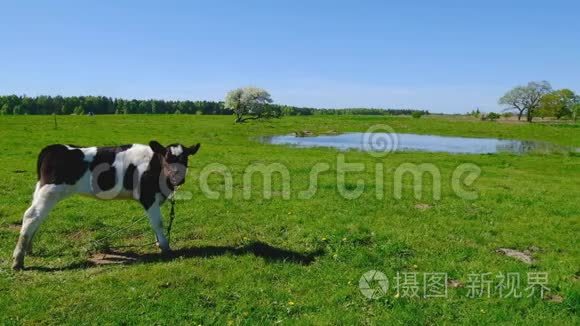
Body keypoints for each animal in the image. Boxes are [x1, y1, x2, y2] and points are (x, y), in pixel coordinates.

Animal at [12, 140, 201, 270]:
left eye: (185, 159)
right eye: (168, 158)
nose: (177, 178)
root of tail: (54, 148)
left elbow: (155, 224)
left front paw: (158, 243)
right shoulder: (148, 197)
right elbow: (158, 223)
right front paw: (165, 247)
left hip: (41, 190)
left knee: (36, 218)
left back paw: (28, 249)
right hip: (50, 191)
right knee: (31, 216)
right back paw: (18, 259)